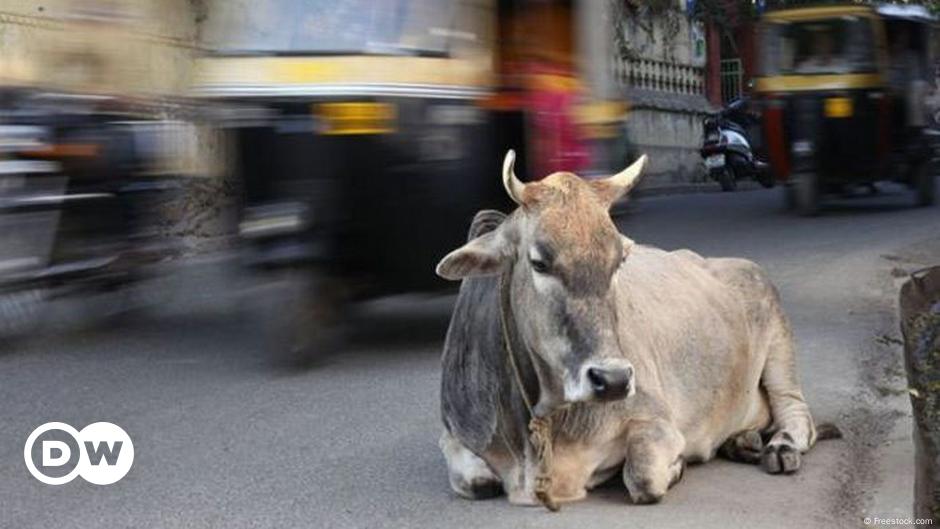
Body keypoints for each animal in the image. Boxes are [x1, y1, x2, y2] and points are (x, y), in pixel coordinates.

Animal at [434, 151, 824, 506]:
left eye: (619, 260)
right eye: (539, 262)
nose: (614, 380)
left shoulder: (656, 420)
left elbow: (643, 476)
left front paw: (677, 466)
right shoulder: (453, 434)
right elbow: (476, 481)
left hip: (778, 341)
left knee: (796, 411)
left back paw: (780, 446)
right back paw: (742, 441)